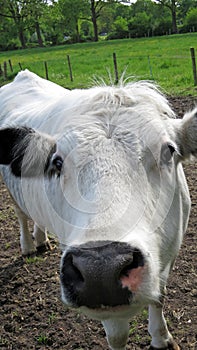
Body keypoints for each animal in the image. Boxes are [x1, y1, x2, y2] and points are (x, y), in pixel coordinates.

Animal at [0, 69, 196, 348]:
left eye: (168, 150)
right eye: (57, 162)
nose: (100, 269)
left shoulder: (169, 251)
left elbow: (159, 297)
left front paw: (161, 338)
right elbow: (117, 335)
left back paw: (41, 239)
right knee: (20, 213)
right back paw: (28, 244)